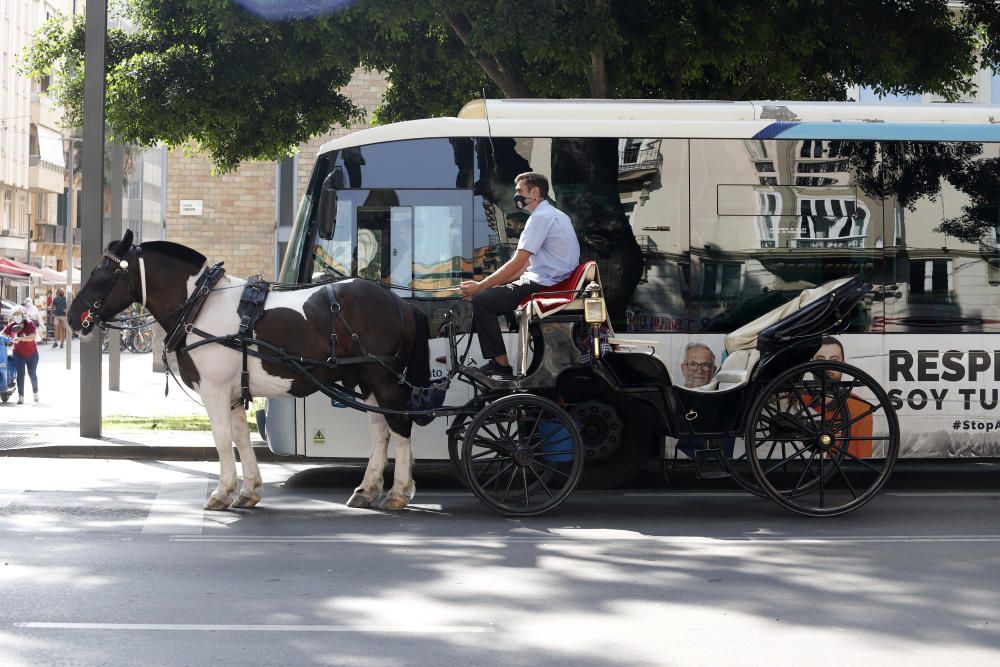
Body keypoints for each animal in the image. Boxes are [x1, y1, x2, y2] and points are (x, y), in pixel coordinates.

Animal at [66, 232, 426, 516]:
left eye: (105, 272)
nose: (72, 316)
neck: (200, 305)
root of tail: (399, 302)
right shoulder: (233, 393)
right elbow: (240, 438)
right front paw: (248, 490)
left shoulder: (213, 391)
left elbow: (221, 438)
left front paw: (221, 492)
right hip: (368, 381)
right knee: (380, 430)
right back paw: (368, 488)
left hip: (383, 378)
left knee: (400, 426)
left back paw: (397, 492)